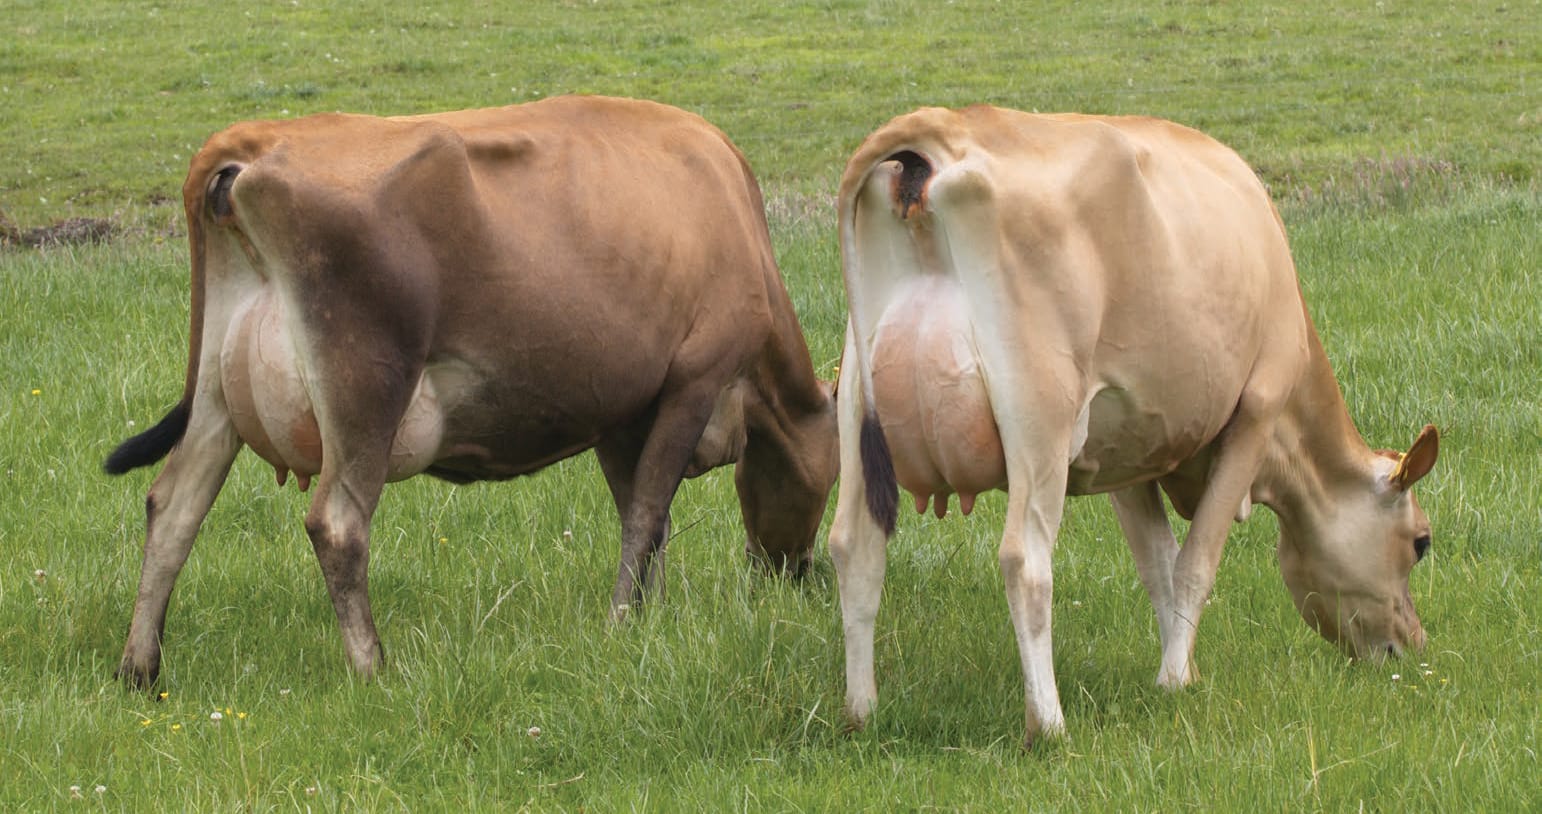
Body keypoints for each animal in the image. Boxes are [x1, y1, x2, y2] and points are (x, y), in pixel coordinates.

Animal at [104, 95, 838, 688]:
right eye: (832, 482)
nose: (796, 573)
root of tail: (257, 140)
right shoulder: (695, 378)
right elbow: (648, 513)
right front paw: (622, 622)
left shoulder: (621, 410)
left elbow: (642, 516)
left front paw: (647, 614)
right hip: (367, 384)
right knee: (337, 524)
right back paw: (373, 667)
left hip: (217, 397)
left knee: (173, 507)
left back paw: (140, 668)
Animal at [827, 104, 1439, 745]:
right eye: (1420, 543)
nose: (1412, 644)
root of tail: (942, 126)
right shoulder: (1257, 411)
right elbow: (1195, 564)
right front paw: (1173, 681)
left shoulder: (1123, 451)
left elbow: (1158, 565)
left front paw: (1183, 667)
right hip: (1039, 416)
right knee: (1025, 562)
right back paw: (1047, 724)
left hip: (857, 407)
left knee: (855, 548)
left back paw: (861, 711)